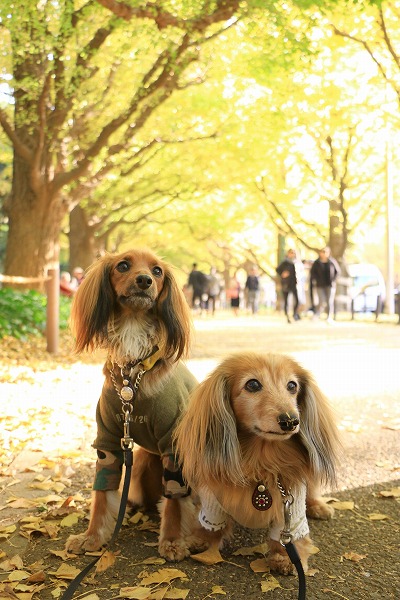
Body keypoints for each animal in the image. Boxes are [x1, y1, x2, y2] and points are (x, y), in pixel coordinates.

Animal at [65, 248, 205, 564]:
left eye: (157, 271)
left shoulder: (173, 446)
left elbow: (175, 501)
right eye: (123, 265)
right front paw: (92, 537)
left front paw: (172, 542)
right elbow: (102, 493)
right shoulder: (107, 441)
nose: (143, 280)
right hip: (140, 461)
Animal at [173, 352, 340, 576]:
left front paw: (285, 558)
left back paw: (318, 507)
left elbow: (287, 534)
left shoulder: (290, 504)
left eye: (292, 386)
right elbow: (210, 524)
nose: (290, 421)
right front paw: (202, 539)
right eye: (252, 384)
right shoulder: (212, 501)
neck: (260, 462)